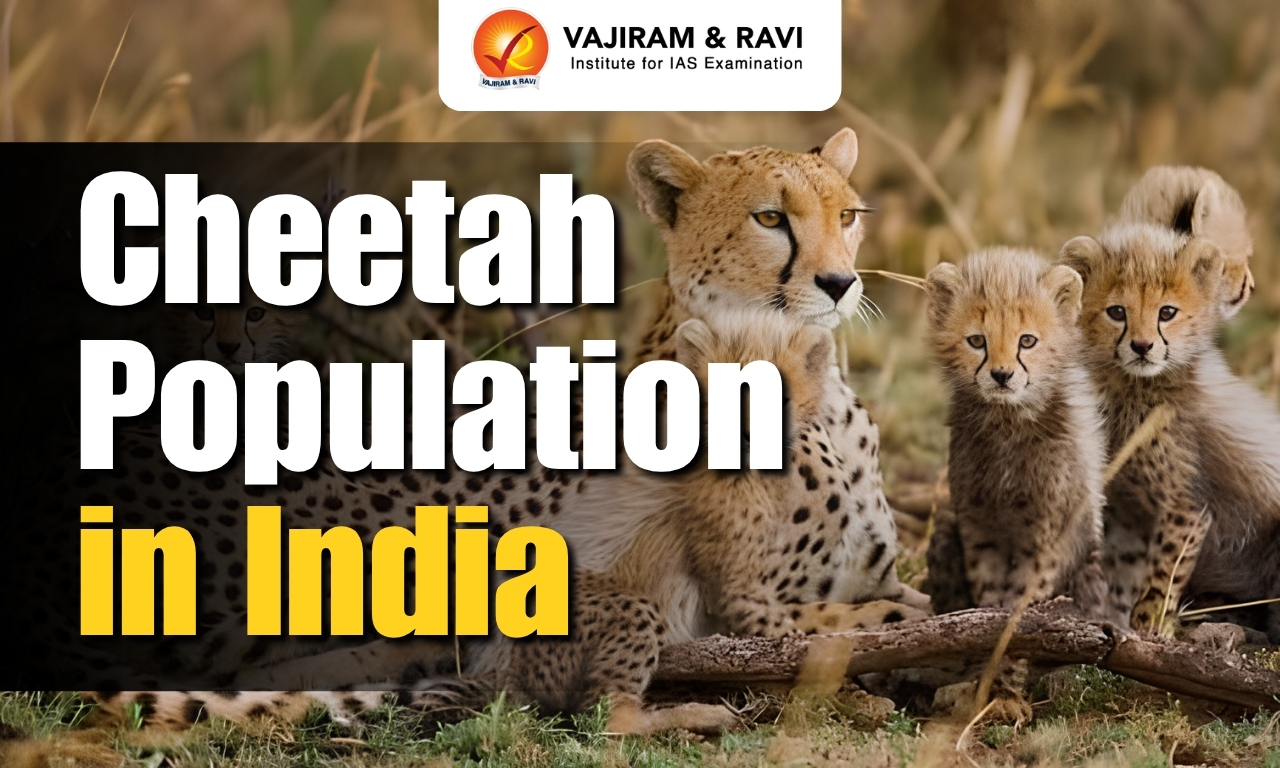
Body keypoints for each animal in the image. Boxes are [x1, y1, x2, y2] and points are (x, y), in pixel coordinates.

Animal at [922, 249, 1107, 723]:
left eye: (1027, 341)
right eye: (976, 341)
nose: (1002, 375)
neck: (1007, 423)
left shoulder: (1044, 540)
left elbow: (1020, 616)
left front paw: (1005, 687)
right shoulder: (978, 528)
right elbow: (989, 608)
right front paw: (987, 680)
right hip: (945, 536)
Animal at [1059, 222, 1280, 641]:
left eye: (1167, 312)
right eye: (1117, 312)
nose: (1142, 346)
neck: (1135, 390)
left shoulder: (1186, 508)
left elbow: (1163, 573)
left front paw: (1149, 626)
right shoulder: (1127, 511)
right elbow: (1125, 570)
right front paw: (1118, 620)